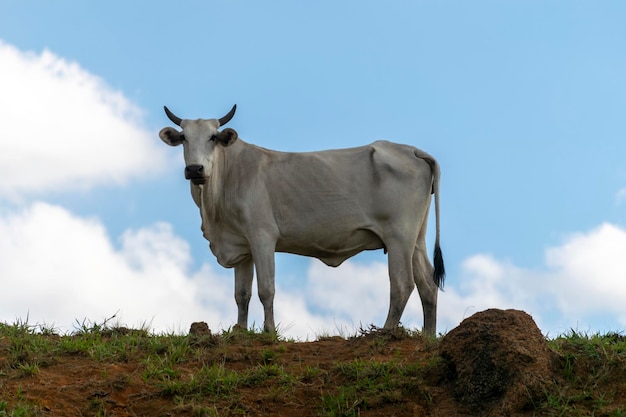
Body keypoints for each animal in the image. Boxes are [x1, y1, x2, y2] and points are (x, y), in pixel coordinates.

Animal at [161, 105, 444, 334]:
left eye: (213, 137)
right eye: (184, 137)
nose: (194, 169)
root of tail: (411, 150)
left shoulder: (262, 236)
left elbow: (266, 289)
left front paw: (269, 331)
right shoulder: (242, 246)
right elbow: (242, 294)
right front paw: (240, 331)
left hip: (398, 236)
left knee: (402, 284)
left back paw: (385, 333)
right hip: (416, 239)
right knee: (427, 284)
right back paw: (427, 337)